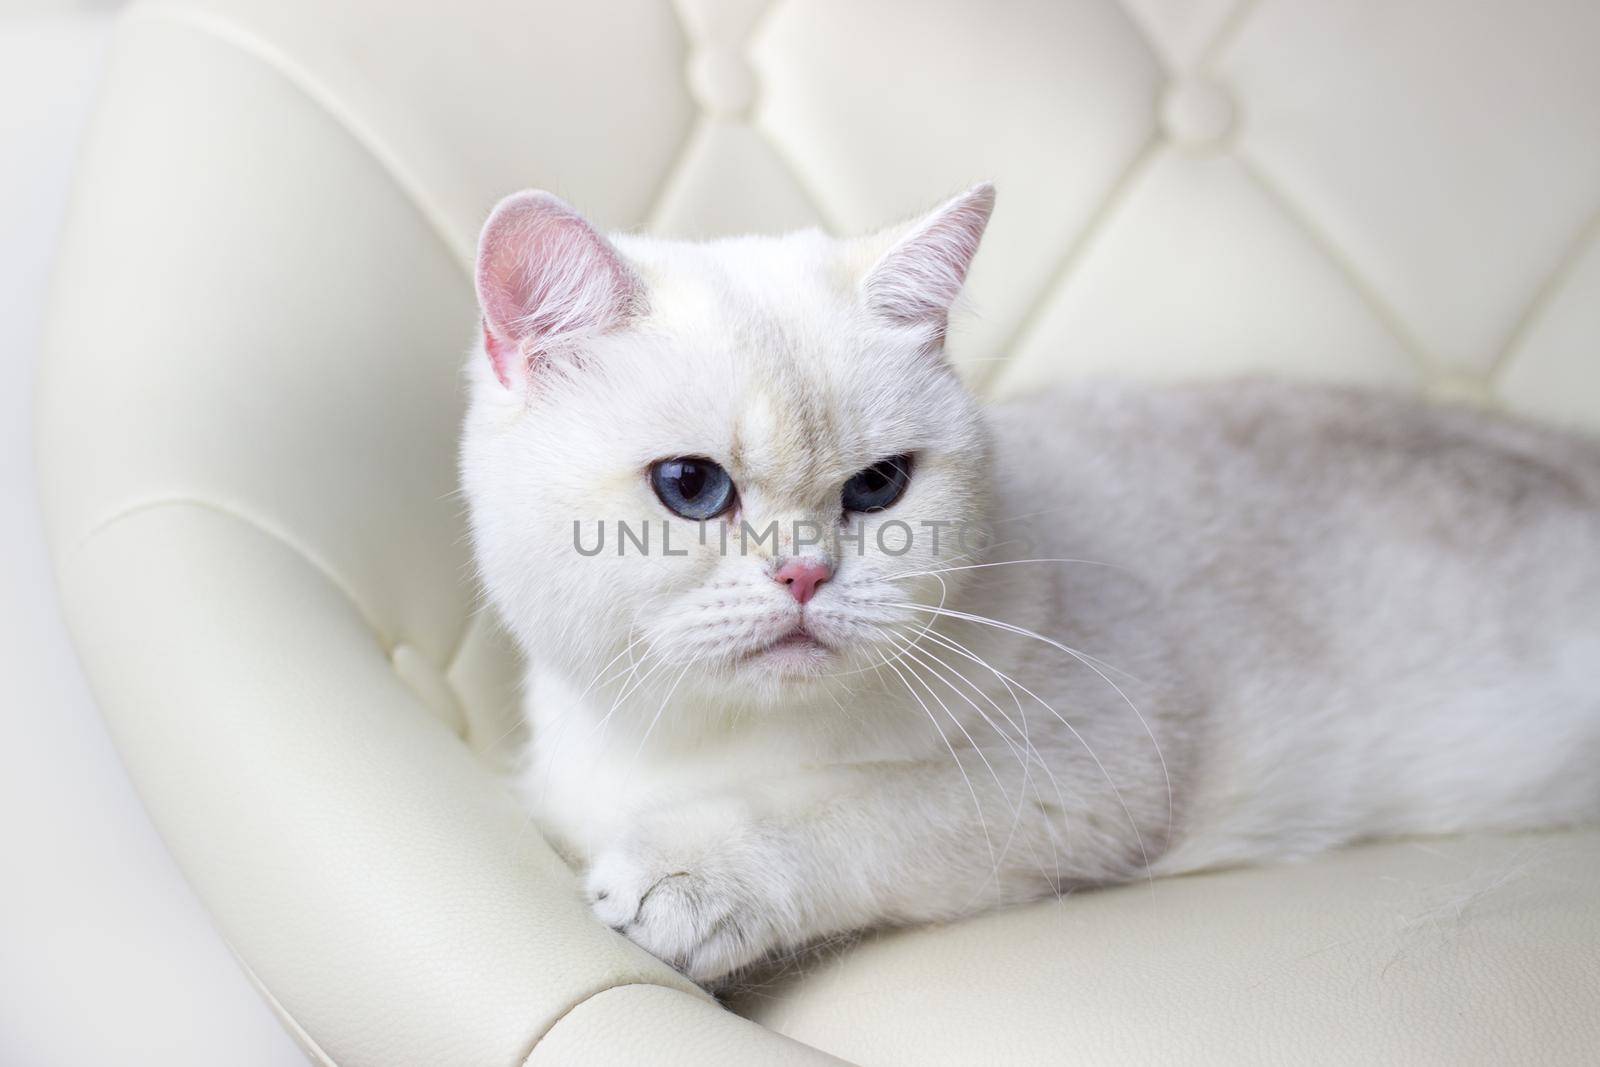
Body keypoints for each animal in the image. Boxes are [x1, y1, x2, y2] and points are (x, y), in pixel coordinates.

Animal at [464, 181, 1600, 985]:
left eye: (878, 487)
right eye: (692, 487)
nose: (805, 573)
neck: (695, 744)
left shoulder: (1075, 771)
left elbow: (843, 811)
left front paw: (685, 883)